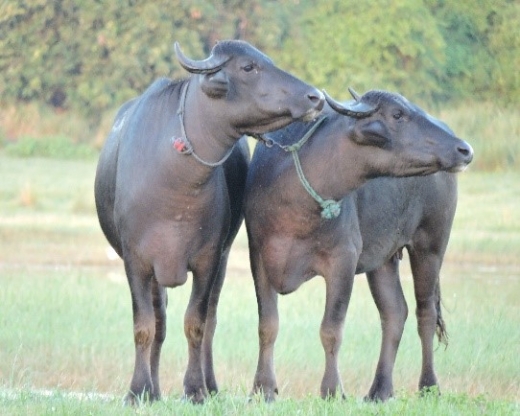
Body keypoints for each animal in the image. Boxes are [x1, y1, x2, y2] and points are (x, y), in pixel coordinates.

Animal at [92, 39, 320, 404]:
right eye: (248, 67)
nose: (315, 97)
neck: (175, 187)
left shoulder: (208, 259)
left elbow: (196, 323)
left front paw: (195, 388)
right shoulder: (135, 261)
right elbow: (144, 326)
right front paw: (138, 389)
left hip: (223, 259)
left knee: (209, 320)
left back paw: (209, 384)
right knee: (160, 320)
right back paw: (154, 387)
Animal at [246, 89, 474, 402]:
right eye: (398, 114)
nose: (465, 149)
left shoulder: (343, 260)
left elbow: (331, 329)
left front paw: (332, 390)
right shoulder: (259, 256)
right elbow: (267, 325)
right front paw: (263, 389)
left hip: (430, 246)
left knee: (425, 313)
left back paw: (428, 386)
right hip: (384, 258)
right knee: (395, 312)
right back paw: (380, 390)